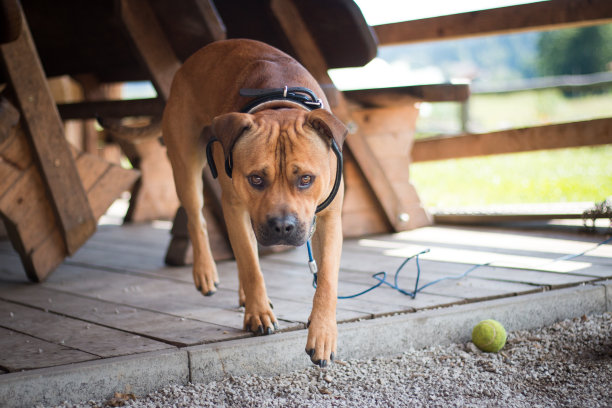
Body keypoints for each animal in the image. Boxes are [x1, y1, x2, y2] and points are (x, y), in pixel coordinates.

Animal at [161, 39, 344, 368]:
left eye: (306, 179)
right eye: (256, 178)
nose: (282, 227)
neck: (280, 104)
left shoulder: (330, 219)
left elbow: (325, 279)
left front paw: (323, 333)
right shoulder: (234, 207)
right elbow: (249, 263)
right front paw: (258, 313)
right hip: (185, 162)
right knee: (197, 218)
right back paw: (206, 272)